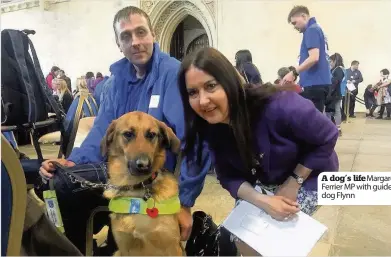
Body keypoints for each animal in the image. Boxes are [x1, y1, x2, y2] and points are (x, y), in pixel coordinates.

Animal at [102, 111, 185, 255]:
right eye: (128, 134)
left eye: (151, 135)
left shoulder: (173, 248)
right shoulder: (124, 248)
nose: (144, 165)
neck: (137, 187)